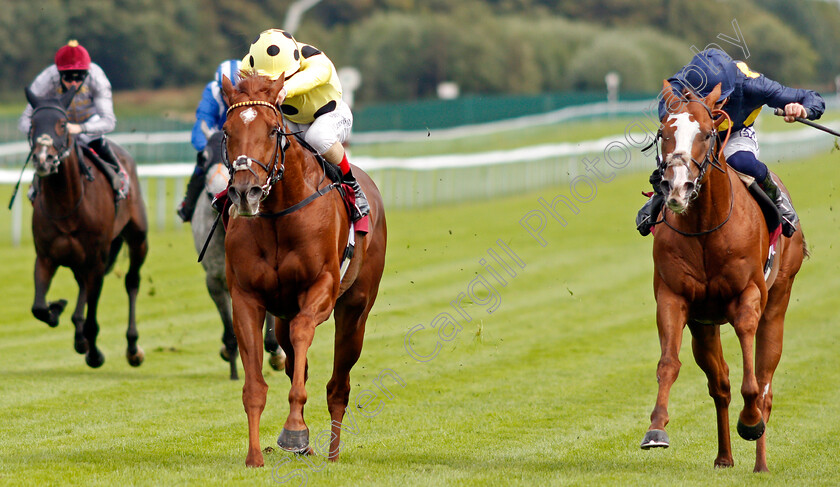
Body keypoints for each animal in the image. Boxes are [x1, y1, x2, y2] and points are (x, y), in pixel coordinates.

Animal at [25, 87, 149, 370]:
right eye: (33, 124)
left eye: (62, 124)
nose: (43, 159)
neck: (67, 203)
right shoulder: (46, 257)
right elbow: (38, 308)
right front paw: (56, 308)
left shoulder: (96, 259)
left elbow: (93, 316)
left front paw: (95, 354)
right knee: (82, 285)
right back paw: (78, 334)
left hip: (138, 238)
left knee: (132, 281)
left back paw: (132, 347)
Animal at [217, 73, 388, 468]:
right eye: (228, 131)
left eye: (272, 130)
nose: (245, 192)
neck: (279, 213)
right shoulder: (247, 297)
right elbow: (255, 385)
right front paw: (255, 457)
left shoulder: (321, 288)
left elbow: (303, 334)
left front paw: (294, 430)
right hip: (281, 315)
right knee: (298, 360)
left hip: (355, 311)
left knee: (338, 385)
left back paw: (332, 453)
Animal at [644, 82, 808, 474]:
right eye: (664, 133)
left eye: (706, 133)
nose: (678, 188)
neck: (705, 225)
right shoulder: (673, 298)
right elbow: (668, 364)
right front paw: (656, 429)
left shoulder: (748, 296)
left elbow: (753, 383)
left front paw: (749, 423)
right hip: (704, 325)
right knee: (720, 385)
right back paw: (724, 457)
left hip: (778, 300)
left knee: (765, 386)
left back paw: (760, 461)